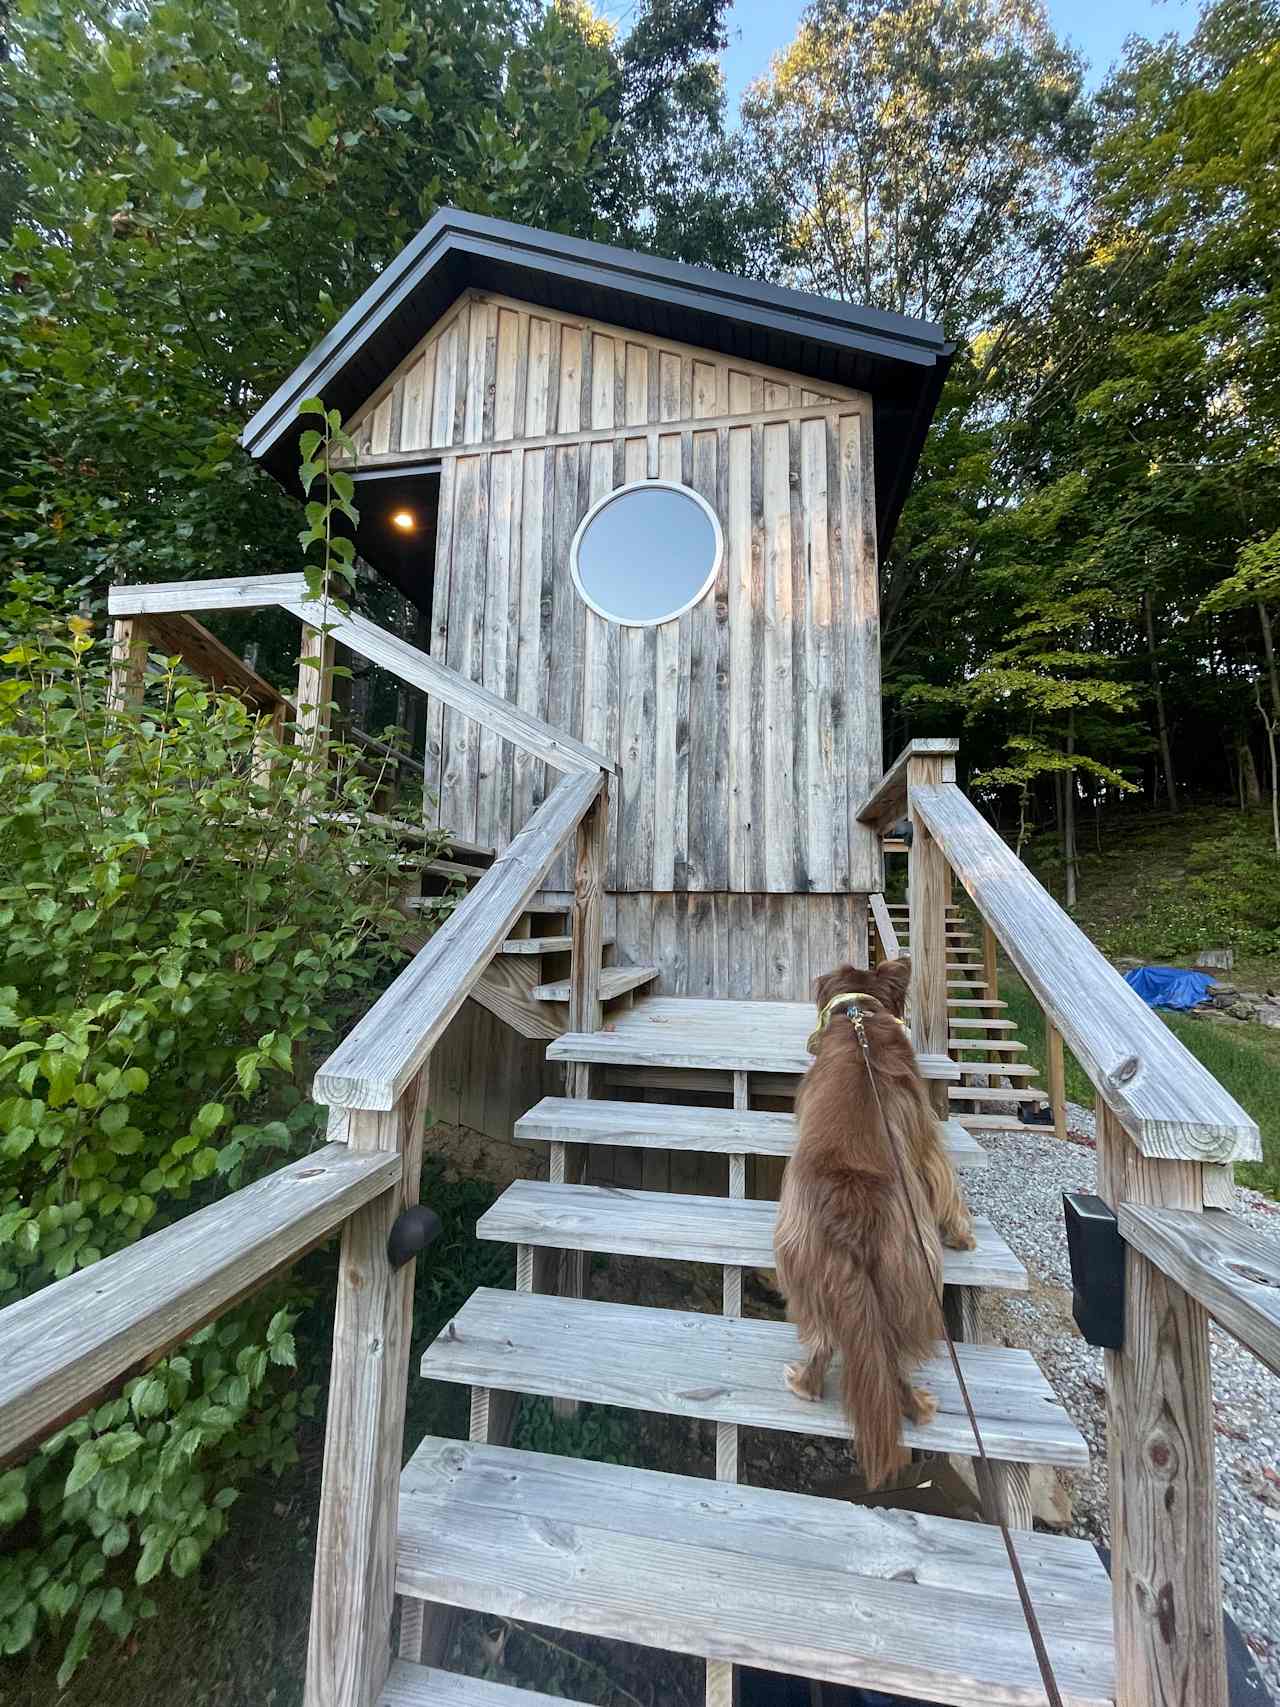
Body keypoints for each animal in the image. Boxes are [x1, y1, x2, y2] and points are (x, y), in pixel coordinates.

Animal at [778, 969, 976, 1488]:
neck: (860, 1018)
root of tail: (852, 1208)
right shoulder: (927, 1138)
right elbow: (946, 1182)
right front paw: (964, 1234)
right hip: (913, 1275)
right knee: (879, 1355)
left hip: (820, 1268)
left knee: (833, 1341)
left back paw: (810, 1388)